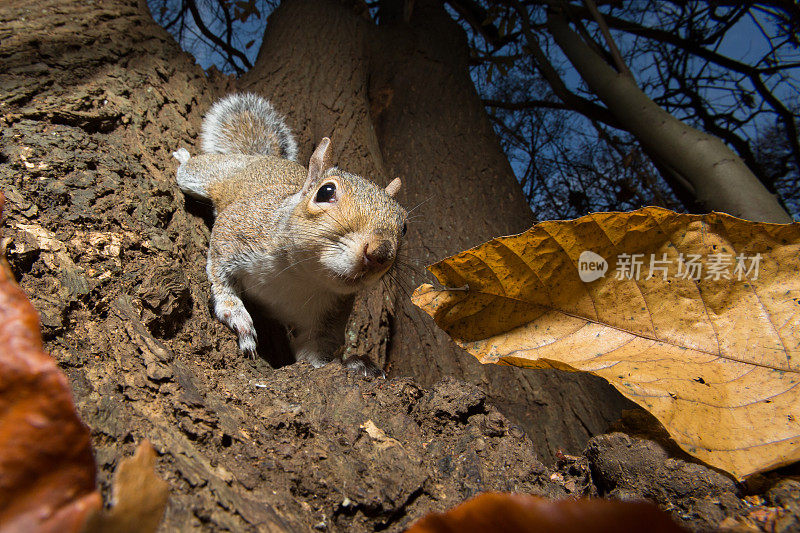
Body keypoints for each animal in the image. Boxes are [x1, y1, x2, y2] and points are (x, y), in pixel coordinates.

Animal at [176, 93, 410, 376]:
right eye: (325, 192)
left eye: (404, 226)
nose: (380, 252)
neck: (300, 275)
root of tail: (258, 157)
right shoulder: (237, 230)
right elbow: (220, 275)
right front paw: (236, 313)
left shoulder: (326, 318)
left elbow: (314, 354)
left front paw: (353, 364)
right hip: (210, 174)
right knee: (190, 170)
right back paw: (183, 155)